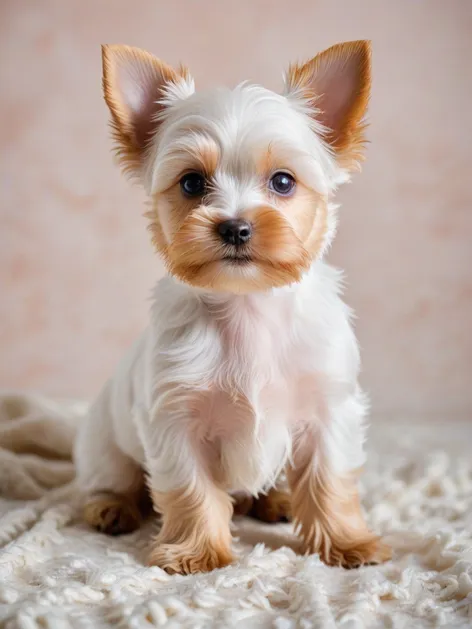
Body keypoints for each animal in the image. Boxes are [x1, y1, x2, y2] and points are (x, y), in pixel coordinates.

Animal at [74, 40, 390, 576]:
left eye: (283, 182)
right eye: (191, 183)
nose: (235, 227)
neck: (249, 307)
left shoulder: (328, 410)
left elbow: (329, 480)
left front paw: (346, 543)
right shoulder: (175, 419)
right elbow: (190, 489)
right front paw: (196, 552)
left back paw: (276, 500)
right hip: (105, 441)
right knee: (112, 477)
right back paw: (111, 507)